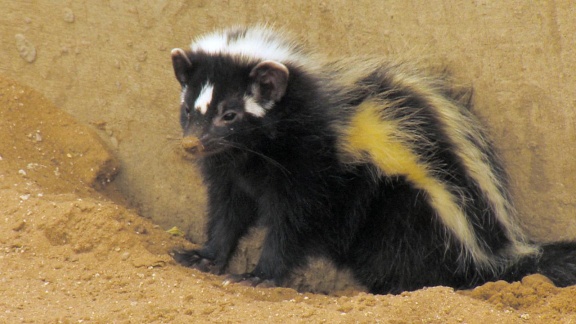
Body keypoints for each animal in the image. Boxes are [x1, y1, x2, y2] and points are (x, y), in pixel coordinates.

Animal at [169, 26, 576, 294]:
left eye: (230, 114)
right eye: (188, 108)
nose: (191, 144)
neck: (255, 151)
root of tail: (494, 250)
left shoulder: (311, 169)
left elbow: (292, 225)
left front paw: (260, 274)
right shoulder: (230, 170)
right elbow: (227, 213)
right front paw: (204, 256)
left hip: (407, 209)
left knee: (401, 258)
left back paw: (392, 289)